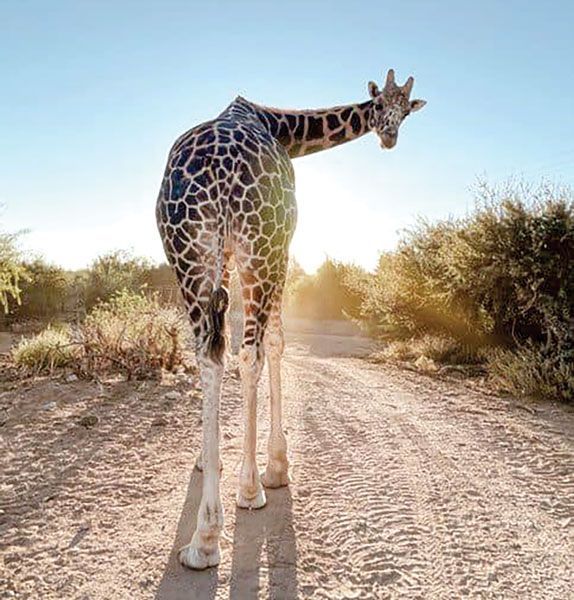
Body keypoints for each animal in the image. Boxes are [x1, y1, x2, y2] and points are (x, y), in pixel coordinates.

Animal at [155, 68, 426, 568]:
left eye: (406, 111)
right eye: (382, 107)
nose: (389, 137)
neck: (279, 126)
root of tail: (219, 173)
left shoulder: (224, 254)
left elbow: (228, 350)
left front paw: (207, 459)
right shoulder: (284, 247)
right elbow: (276, 344)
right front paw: (276, 466)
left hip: (188, 252)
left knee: (210, 354)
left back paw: (202, 538)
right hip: (262, 249)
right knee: (249, 354)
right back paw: (245, 494)